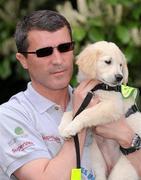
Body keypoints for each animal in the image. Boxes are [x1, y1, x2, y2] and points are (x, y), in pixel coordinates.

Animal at [58, 41, 141, 180]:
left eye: (120, 65)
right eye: (108, 62)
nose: (120, 77)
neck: (99, 86)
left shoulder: (112, 106)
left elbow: (85, 113)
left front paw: (71, 127)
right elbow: (71, 112)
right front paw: (63, 127)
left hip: (122, 169)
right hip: (97, 159)